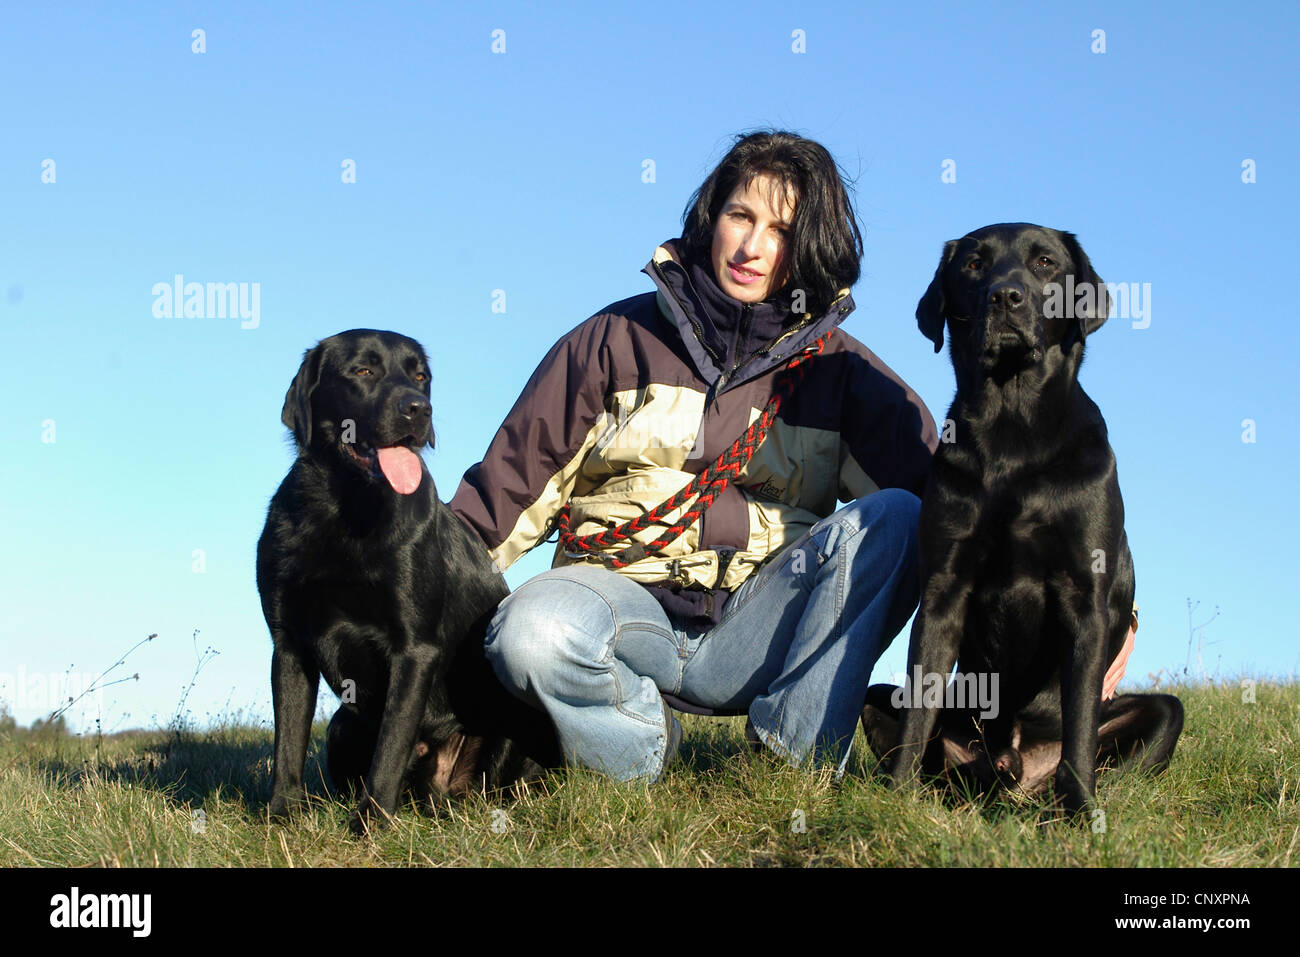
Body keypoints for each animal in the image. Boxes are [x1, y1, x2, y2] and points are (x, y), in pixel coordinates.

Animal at [256, 327, 556, 832]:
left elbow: (390, 747)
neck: (346, 509)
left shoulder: (415, 649)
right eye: (363, 370)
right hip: (343, 725)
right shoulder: (289, 643)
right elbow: (288, 744)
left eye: (420, 377)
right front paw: (280, 818)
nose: (418, 409)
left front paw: (369, 824)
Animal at [863, 226, 1190, 816]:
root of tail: (1011, 771)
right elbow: (919, 710)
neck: (1012, 431)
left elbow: (1080, 722)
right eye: (973, 264)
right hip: (891, 705)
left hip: (1164, 712)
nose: (1005, 297)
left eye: (1045, 263)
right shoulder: (943, 589)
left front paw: (1082, 810)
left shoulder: (1083, 597)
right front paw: (895, 800)